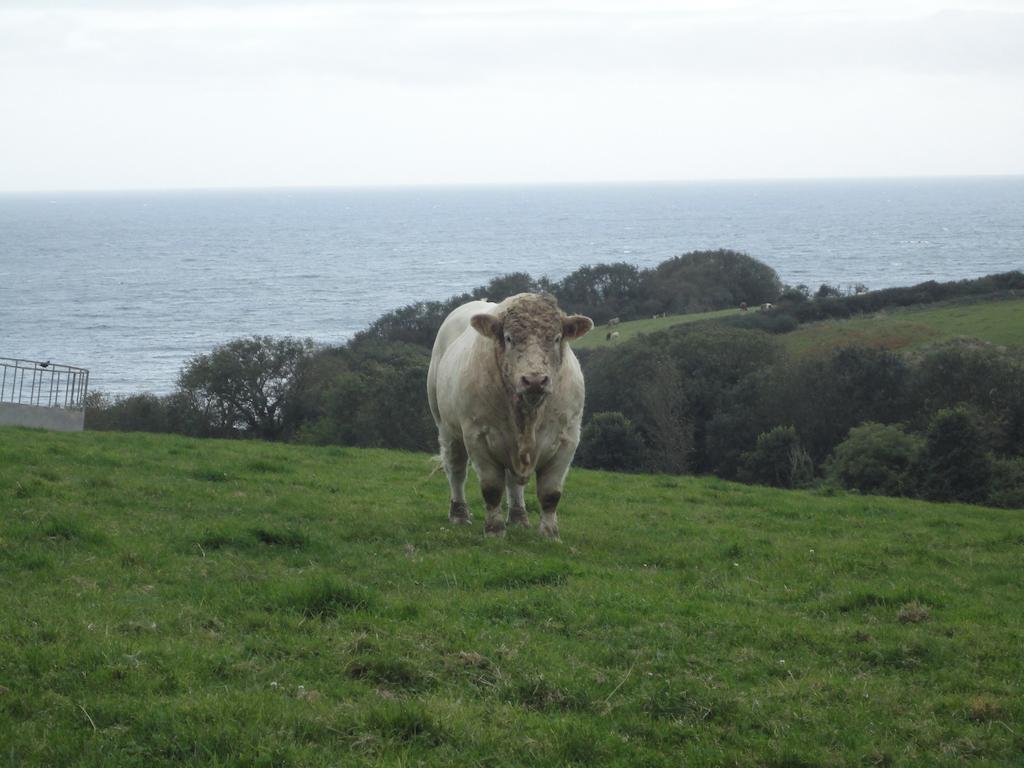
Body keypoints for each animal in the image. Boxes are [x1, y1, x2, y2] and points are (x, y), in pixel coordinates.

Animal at [428, 294, 598, 540]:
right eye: (508, 338)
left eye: (557, 338)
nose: (535, 380)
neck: (528, 416)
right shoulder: (478, 437)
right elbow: (491, 488)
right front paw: (494, 529)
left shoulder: (567, 439)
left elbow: (550, 493)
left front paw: (550, 534)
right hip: (447, 428)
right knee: (456, 470)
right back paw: (459, 514)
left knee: (512, 482)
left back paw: (519, 518)